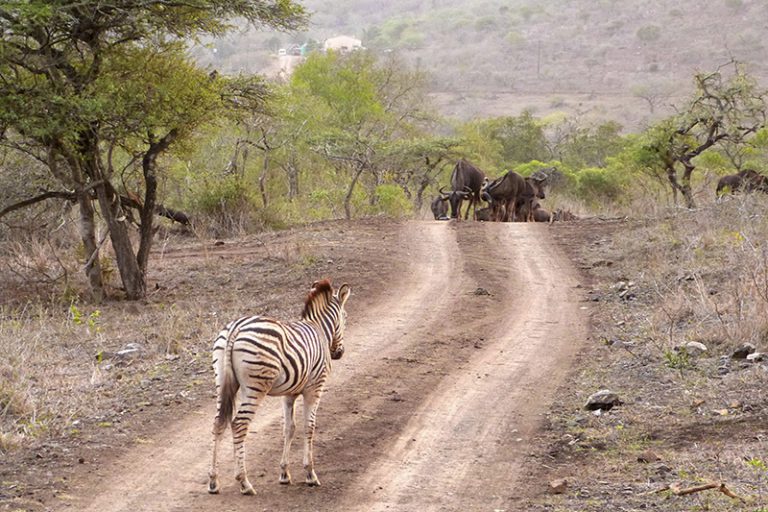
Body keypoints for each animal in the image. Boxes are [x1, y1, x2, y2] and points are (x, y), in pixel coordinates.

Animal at [208, 279, 351, 495]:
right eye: (345, 318)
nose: (338, 353)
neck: (318, 328)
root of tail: (236, 328)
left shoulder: (289, 393)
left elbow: (289, 428)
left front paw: (284, 473)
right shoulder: (314, 388)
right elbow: (309, 426)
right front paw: (310, 474)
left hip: (222, 382)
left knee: (218, 423)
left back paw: (214, 481)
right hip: (256, 386)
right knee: (239, 424)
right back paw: (244, 482)